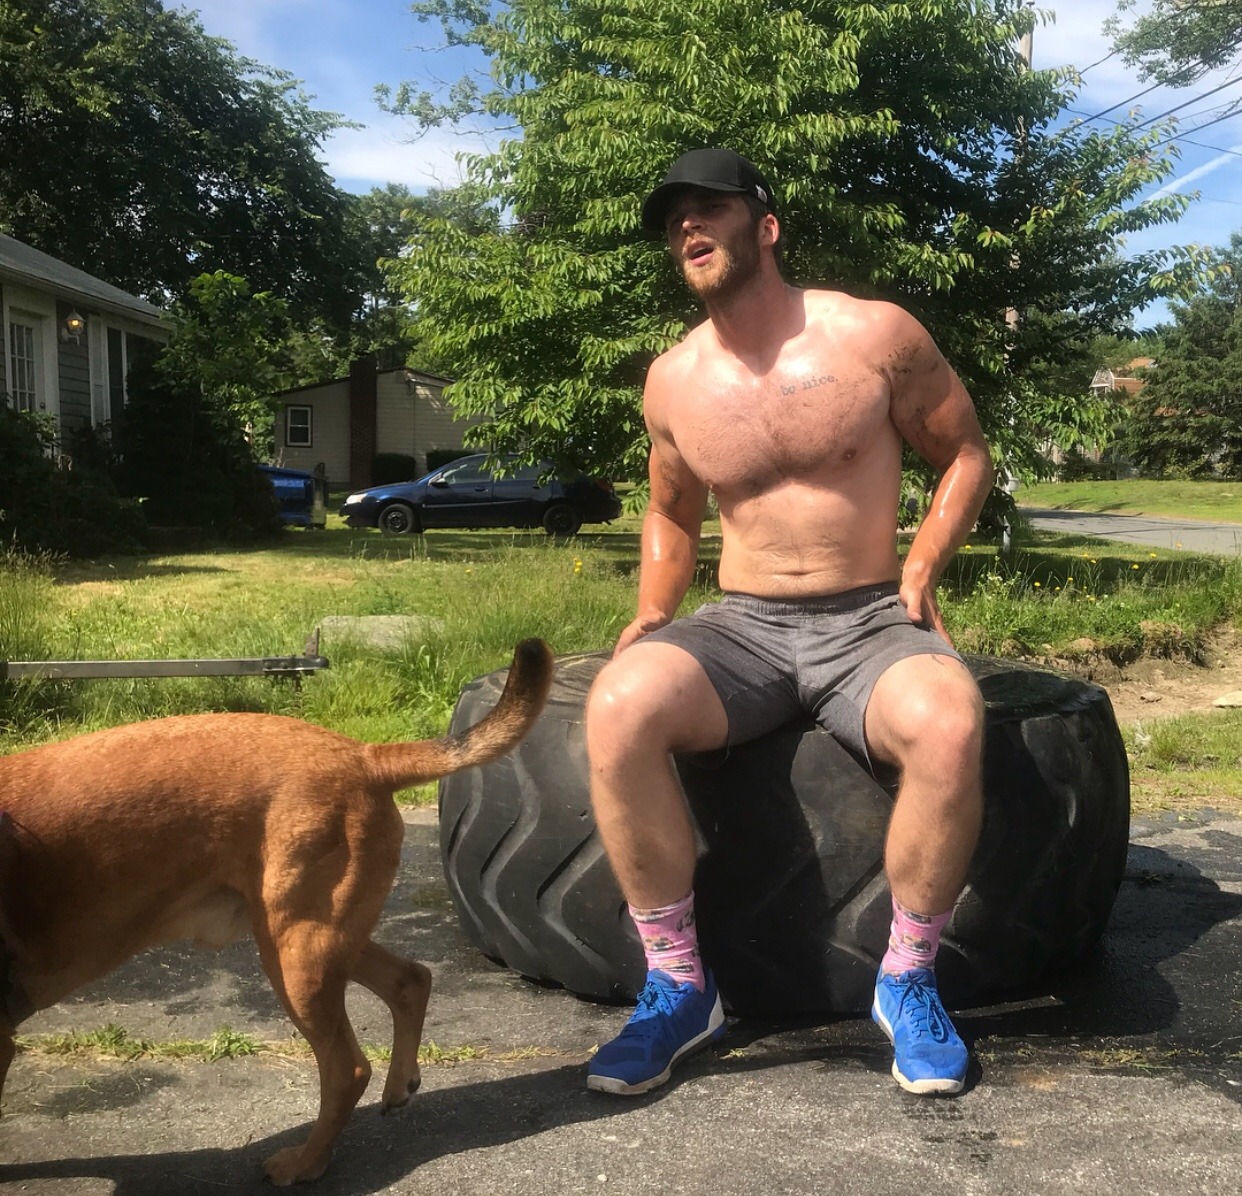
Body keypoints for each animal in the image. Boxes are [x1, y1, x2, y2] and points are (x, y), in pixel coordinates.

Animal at [0, 638, 552, 1184]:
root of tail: (365, 756)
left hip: (297, 954)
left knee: (347, 1069)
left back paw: (305, 1164)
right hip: (316, 939)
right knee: (410, 978)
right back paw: (396, 1088)